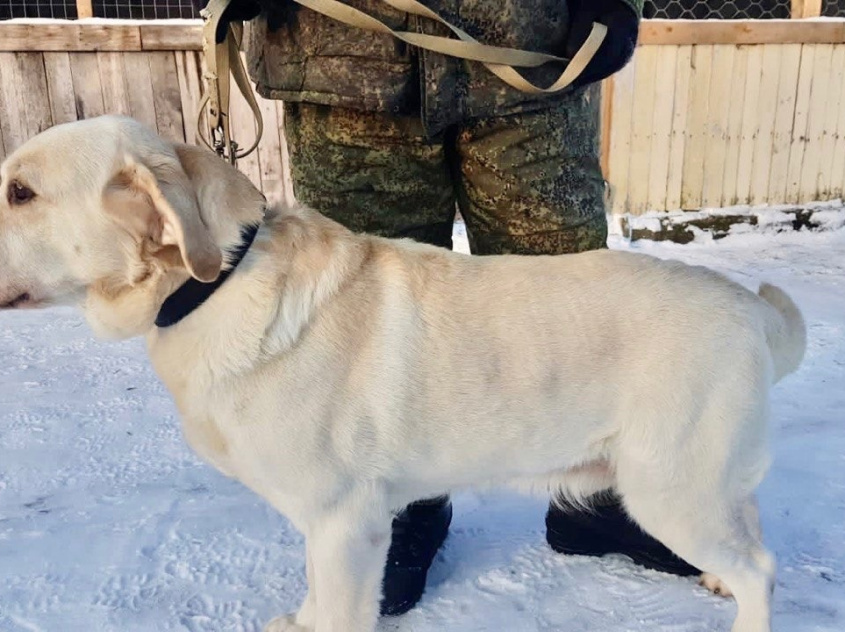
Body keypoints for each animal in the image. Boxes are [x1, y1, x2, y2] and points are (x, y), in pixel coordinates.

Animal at [0, 115, 804, 632]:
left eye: (20, 192)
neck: (217, 281)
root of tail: (752, 310)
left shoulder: (344, 521)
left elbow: (339, 615)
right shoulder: (330, 529)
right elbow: (318, 600)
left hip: (668, 488)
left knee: (762, 570)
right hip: (702, 483)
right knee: (753, 533)